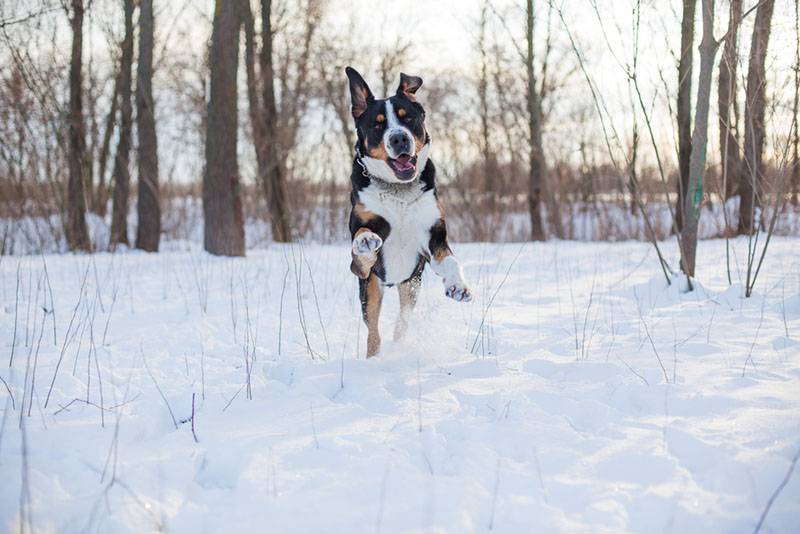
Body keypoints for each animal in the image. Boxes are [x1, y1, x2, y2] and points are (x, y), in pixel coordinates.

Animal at [346, 68, 472, 360]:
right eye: (378, 125)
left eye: (408, 118)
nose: (399, 138)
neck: (398, 191)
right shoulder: (360, 267)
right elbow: (362, 243)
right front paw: (365, 242)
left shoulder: (432, 239)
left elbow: (450, 261)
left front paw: (457, 285)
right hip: (371, 292)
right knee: (373, 333)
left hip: (410, 285)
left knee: (401, 324)